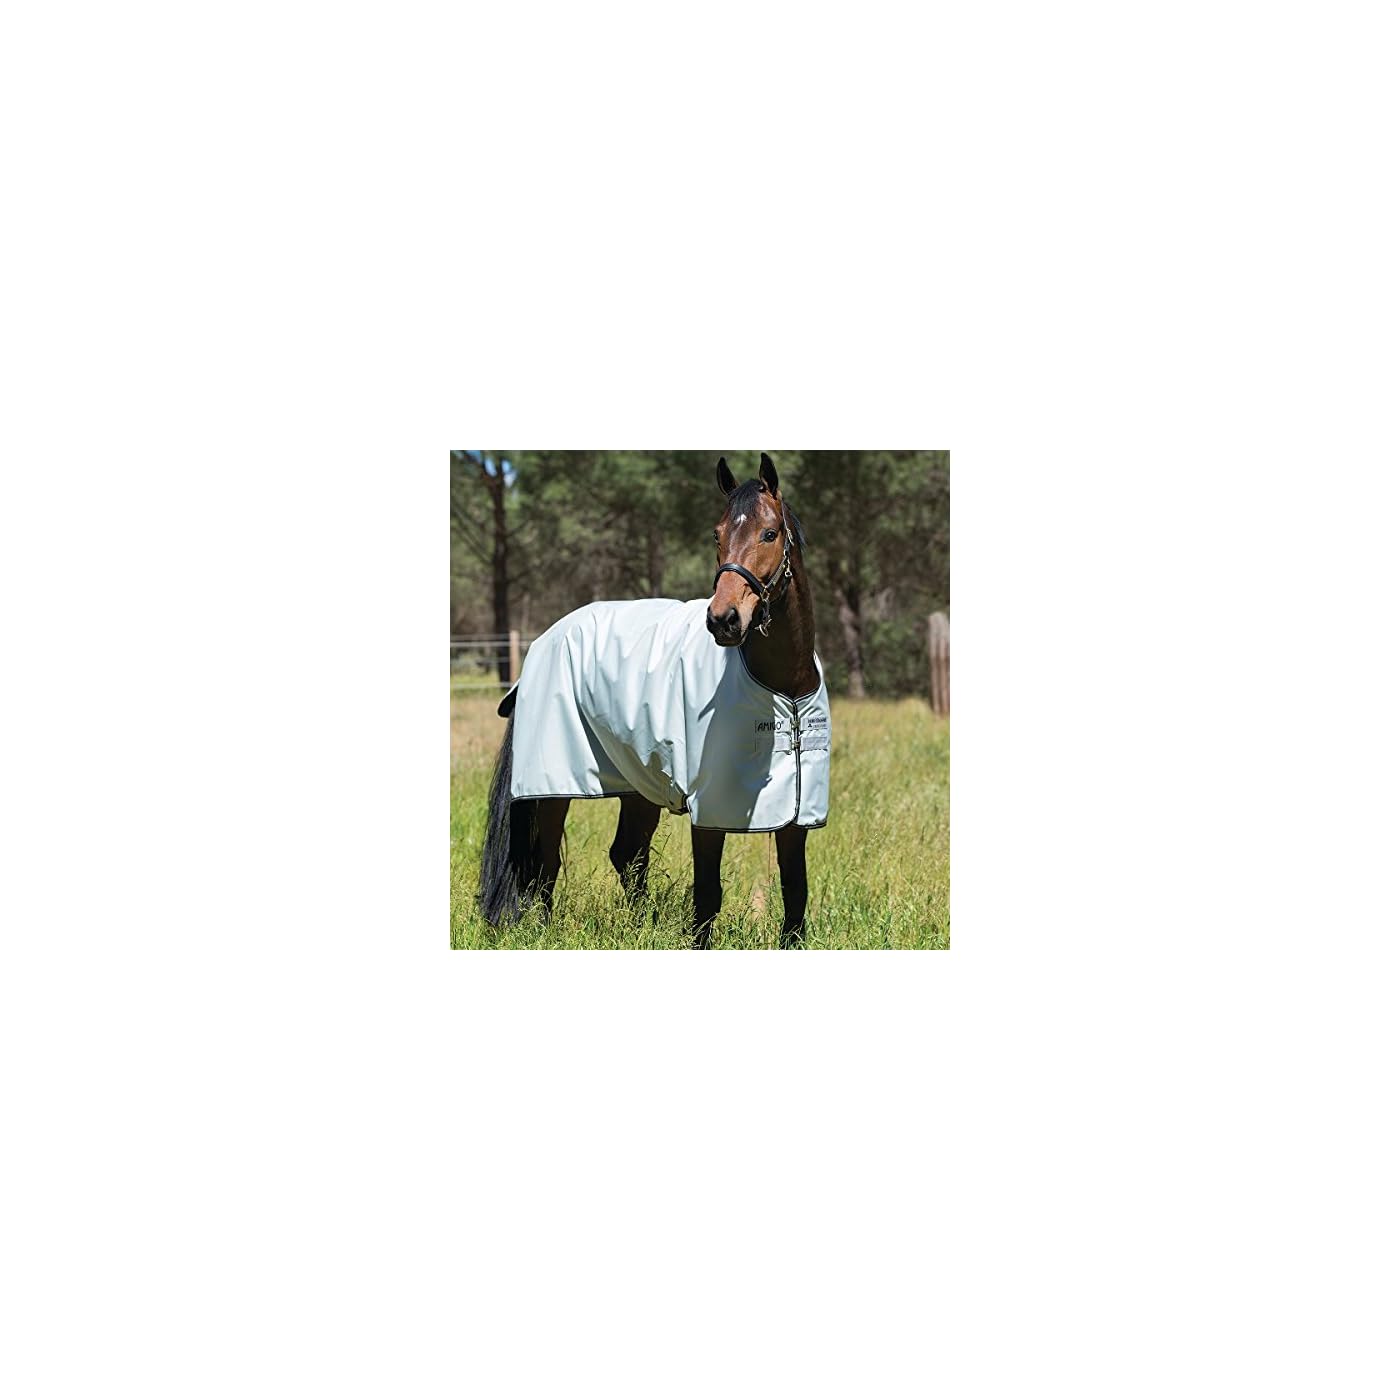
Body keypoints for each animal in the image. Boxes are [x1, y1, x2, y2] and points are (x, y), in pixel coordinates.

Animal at [477, 453, 829, 948]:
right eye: (717, 535)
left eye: (769, 533)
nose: (723, 620)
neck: (785, 689)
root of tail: (546, 640)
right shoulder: (709, 808)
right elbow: (708, 894)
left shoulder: (798, 812)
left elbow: (795, 889)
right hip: (553, 786)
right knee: (546, 863)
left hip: (638, 783)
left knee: (626, 855)